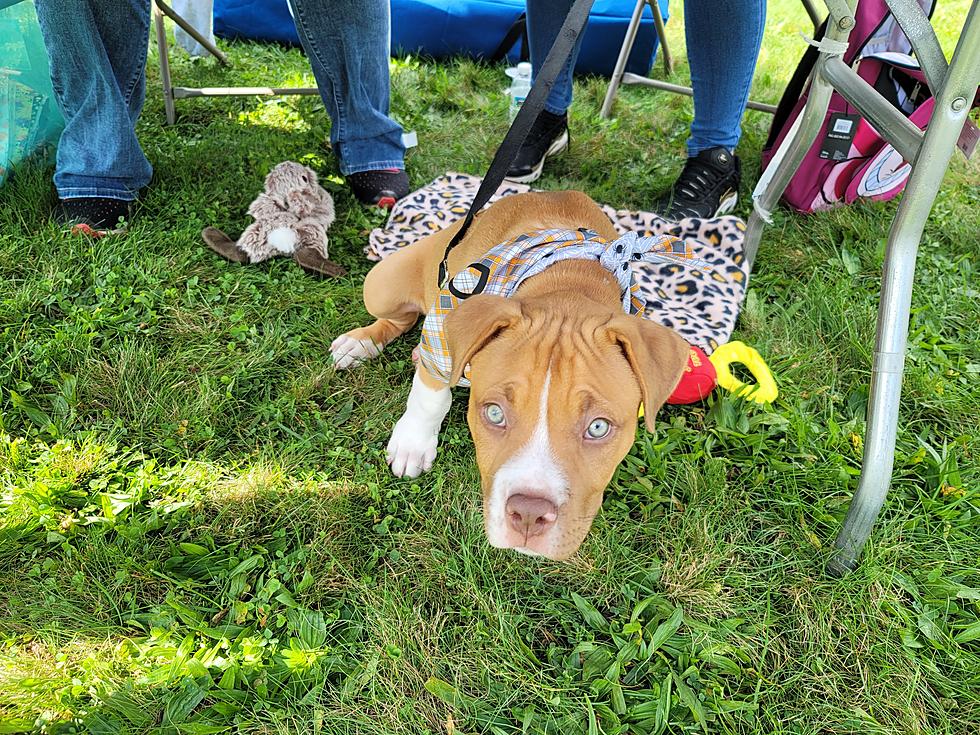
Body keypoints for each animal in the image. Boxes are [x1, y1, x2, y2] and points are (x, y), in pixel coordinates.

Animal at [334, 193, 684, 560]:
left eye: (598, 427)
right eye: (494, 413)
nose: (529, 514)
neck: (570, 284)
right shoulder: (441, 329)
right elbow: (431, 398)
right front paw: (412, 445)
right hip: (383, 285)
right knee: (399, 318)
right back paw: (360, 343)